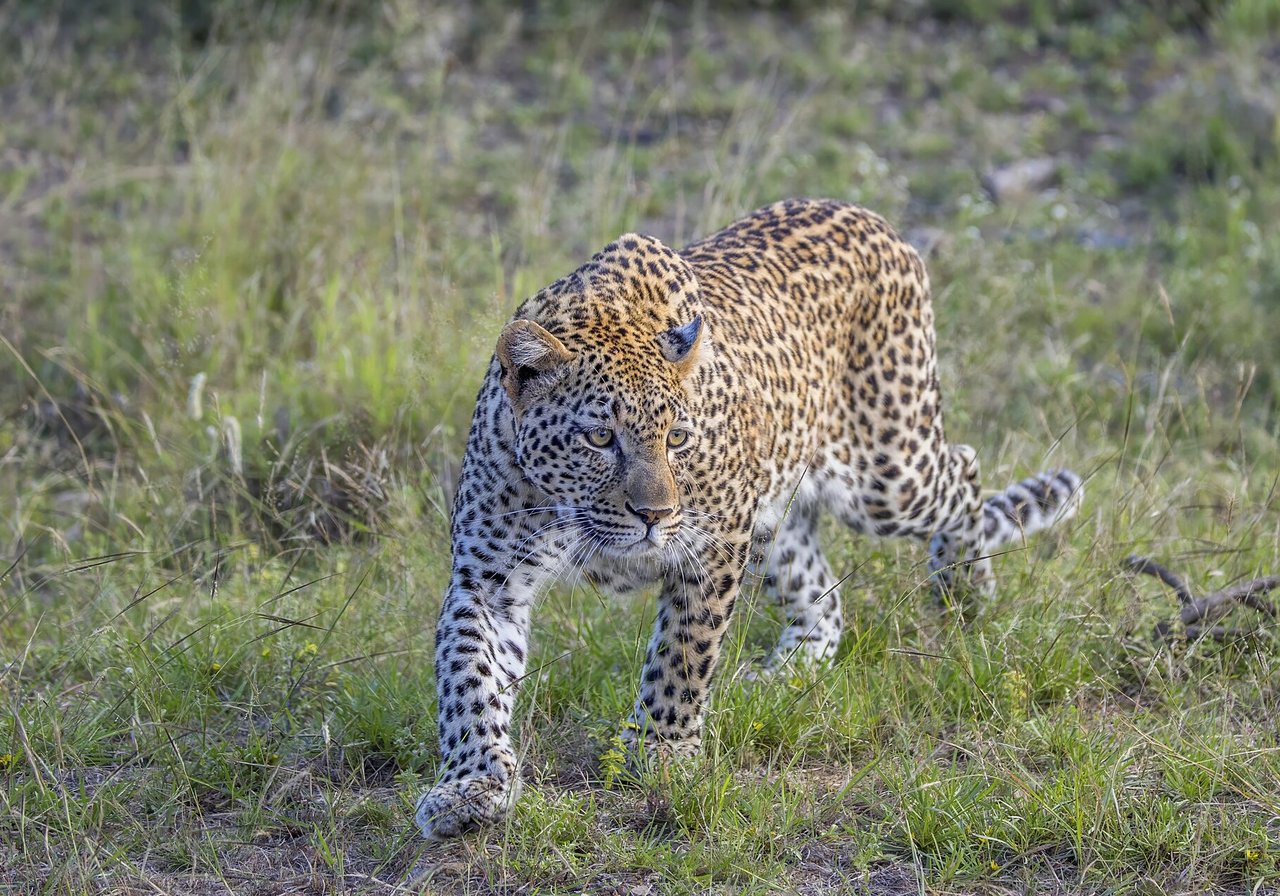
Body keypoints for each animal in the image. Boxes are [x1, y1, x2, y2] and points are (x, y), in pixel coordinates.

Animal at [415, 198, 1083, 839]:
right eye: (600, 437)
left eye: (678, 438)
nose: (655, 515)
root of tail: (876, 221)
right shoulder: (487, 580)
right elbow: (469, 678)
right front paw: (472, 785)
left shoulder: (712, 543)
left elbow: (682, 654)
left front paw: (660, 749)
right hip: (778, 518)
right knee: (823, 601)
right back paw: (781, 677)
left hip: (887, 474)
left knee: (964, 466)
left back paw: (964, 588)